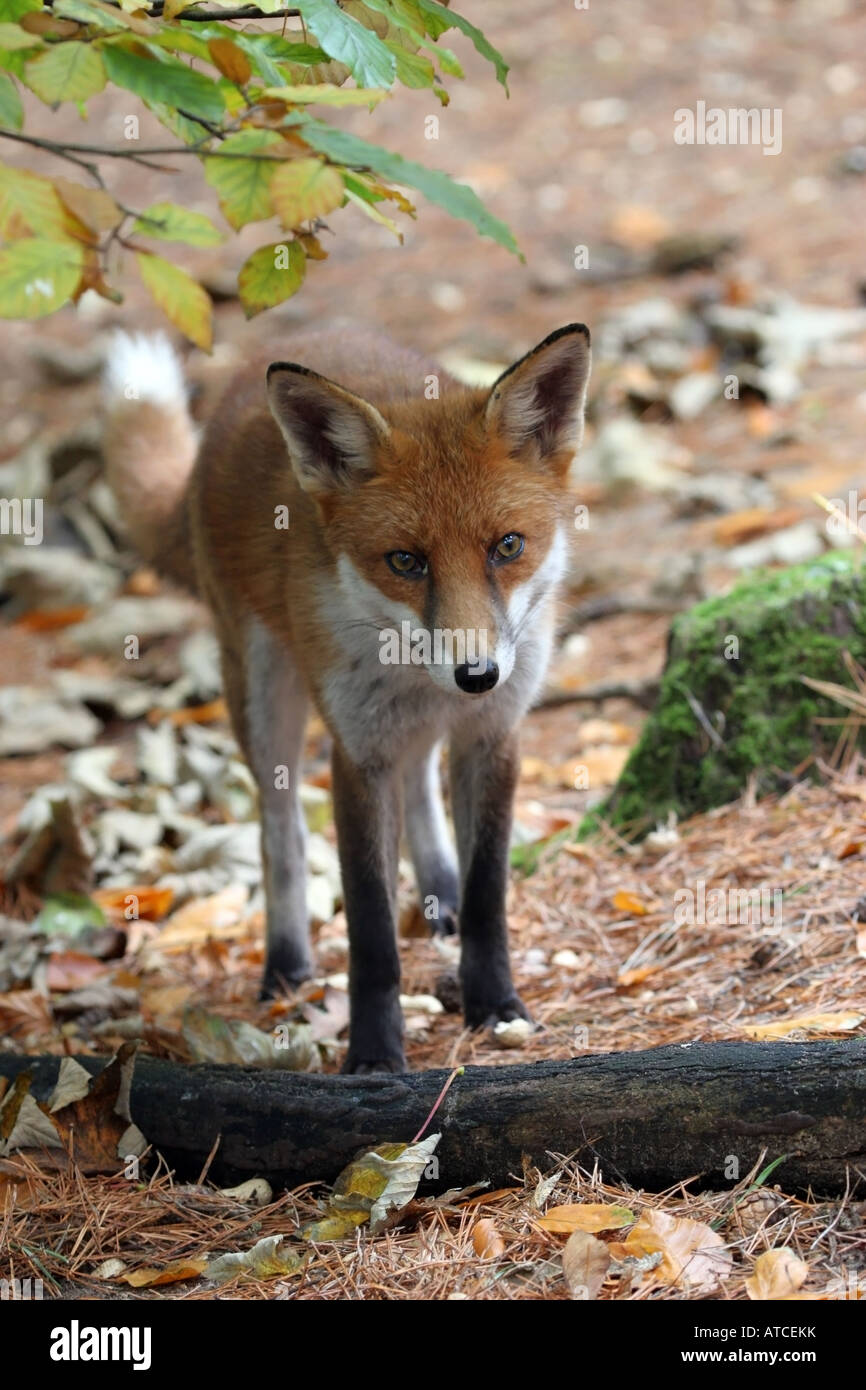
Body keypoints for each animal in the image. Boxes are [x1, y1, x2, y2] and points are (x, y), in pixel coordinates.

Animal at [101, 319, 589, 1067]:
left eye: (508, 546)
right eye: (406, 561)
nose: (475, 675)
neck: (418, 676)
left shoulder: (493, 733)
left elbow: (488, 895)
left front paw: (495, 1004)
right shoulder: (357, 756)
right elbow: (370, 931)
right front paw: (375, 1055)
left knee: (419, 782)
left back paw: (438, 893)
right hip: (263, 696)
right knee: (282, 835)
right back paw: (285, 961)